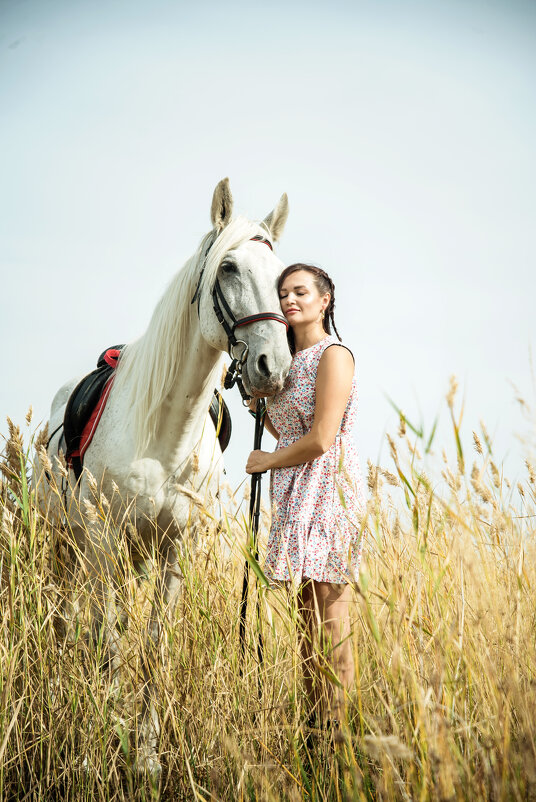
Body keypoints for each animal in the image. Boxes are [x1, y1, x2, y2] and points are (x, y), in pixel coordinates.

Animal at [38, 178, 294, 772]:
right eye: (229, 268)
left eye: (282, 276)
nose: (273, 368)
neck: (162, 433)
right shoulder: (105, 540)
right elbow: (110, 643)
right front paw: (97, 748)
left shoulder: (178, 549)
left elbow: (155, 645)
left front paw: (146, 756)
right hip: (68, 547)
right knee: (70, 622)